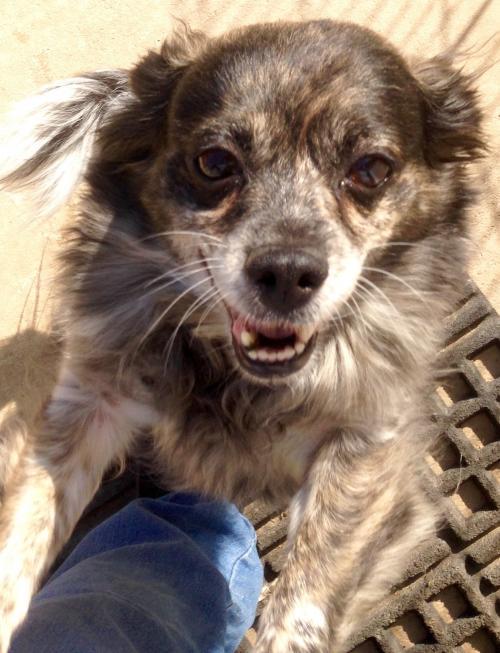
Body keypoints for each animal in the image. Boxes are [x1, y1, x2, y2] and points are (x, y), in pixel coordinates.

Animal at [0, 20, 484, 652]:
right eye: (214, 162)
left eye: (371, 169)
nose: (286, 273)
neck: (235, 377)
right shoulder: (92, 398)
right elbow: (27, 522)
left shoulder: (369, 447)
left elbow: (307, 591)